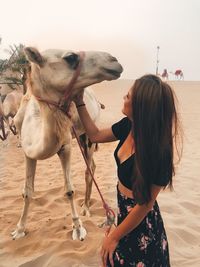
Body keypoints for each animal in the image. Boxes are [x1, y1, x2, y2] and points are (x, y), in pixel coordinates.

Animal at [12, 47, 123, 242]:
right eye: (71, 57)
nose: (114, 60)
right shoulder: (28, 151)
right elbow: (27, 191)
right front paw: (19, 229)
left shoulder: (65, 146)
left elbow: (69, 190)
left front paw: (78, 229)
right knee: (92, 166)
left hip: (87, 136)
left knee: (88, 169)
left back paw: (86, 207)